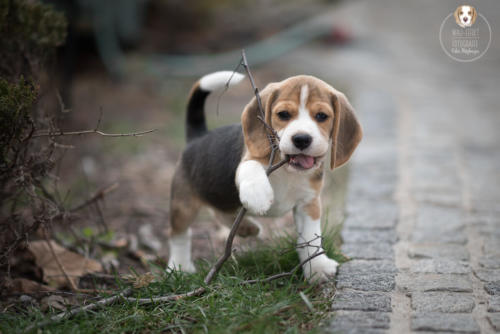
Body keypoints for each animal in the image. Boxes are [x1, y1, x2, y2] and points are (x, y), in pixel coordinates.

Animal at [167, 71, 360, 282]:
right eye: (283, 114)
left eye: (321, 116)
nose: (301, 139)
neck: (289, 171)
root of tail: (197, 137)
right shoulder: (248, 160)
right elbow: (252, 167)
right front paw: (258, 195)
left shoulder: (308, 203)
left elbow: (310, 238)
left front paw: (317, 268)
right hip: (183, 205)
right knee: (179, 235)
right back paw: (178, 267)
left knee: (221, 212)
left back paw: (246, 227)